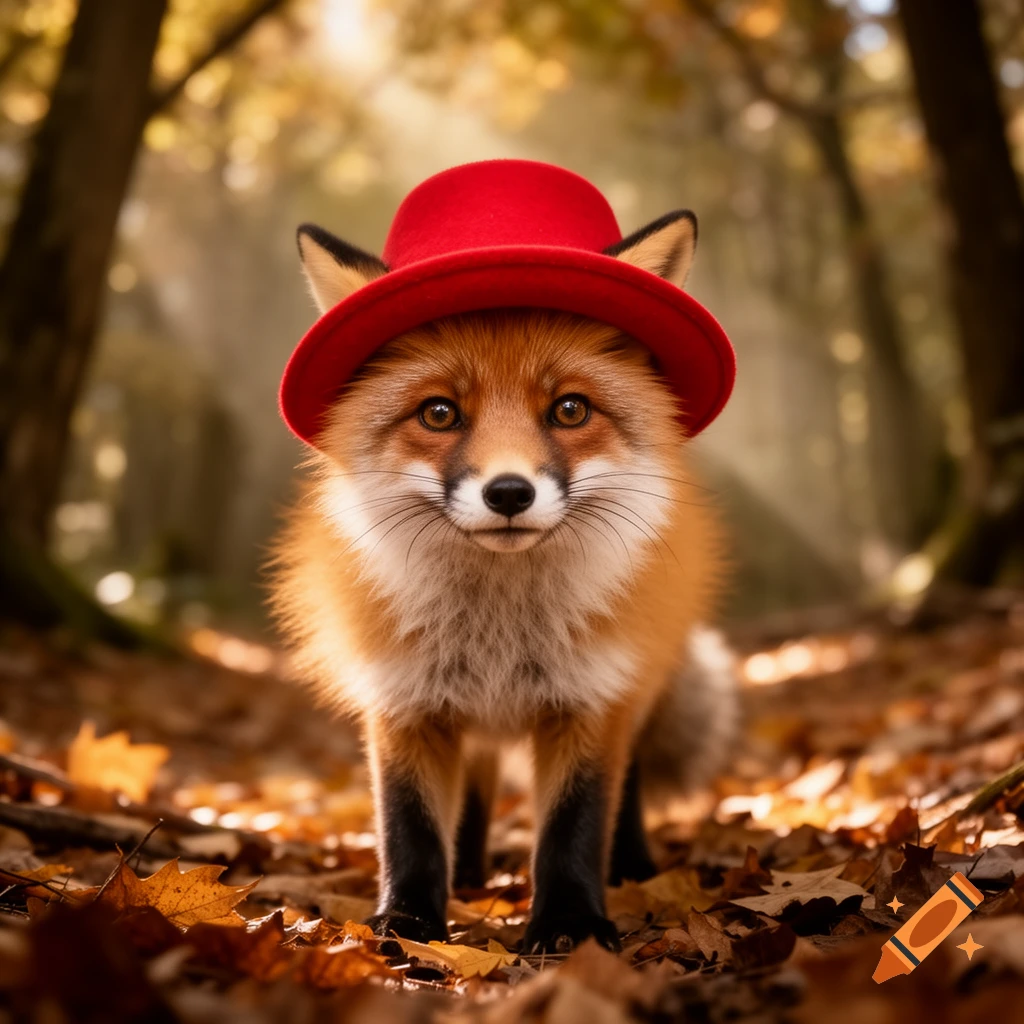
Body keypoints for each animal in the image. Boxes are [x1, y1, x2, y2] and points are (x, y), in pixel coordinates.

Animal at [270, 204, 738, 954]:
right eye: (439, 413)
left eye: (570, 410)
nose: (510, 493)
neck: (497, 635)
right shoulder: (404, 701)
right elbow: (409, 828)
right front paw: (408, 925)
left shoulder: (592, 698)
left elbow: (576, 825)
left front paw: (571, 925)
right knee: (476, 786)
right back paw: (467, 875)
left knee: (628, 779)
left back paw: (633, 866)